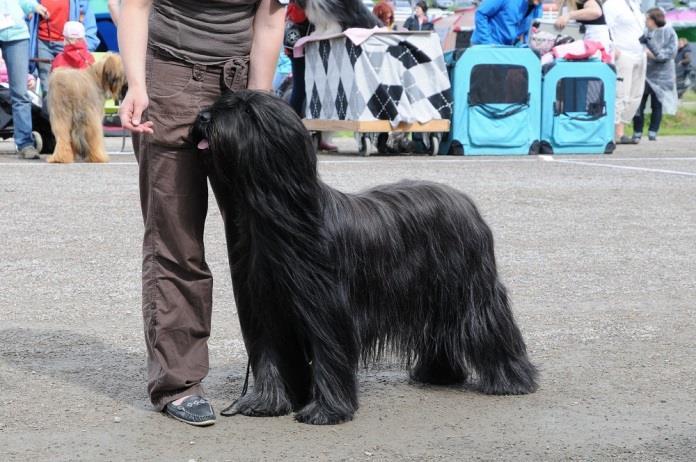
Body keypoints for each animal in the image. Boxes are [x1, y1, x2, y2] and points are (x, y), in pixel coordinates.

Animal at [192, 91, 540, 426]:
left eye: (246, 111)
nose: (203, 117)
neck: (283, 220)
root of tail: (466, 202)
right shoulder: (265, 306)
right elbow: (268, 355)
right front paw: (264, 403)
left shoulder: (327, 308)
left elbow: (329, 355)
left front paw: (326, 411)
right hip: (434, 294)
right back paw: (439, 375)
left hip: (470, 289)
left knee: (490, 326)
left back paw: (513, 380)